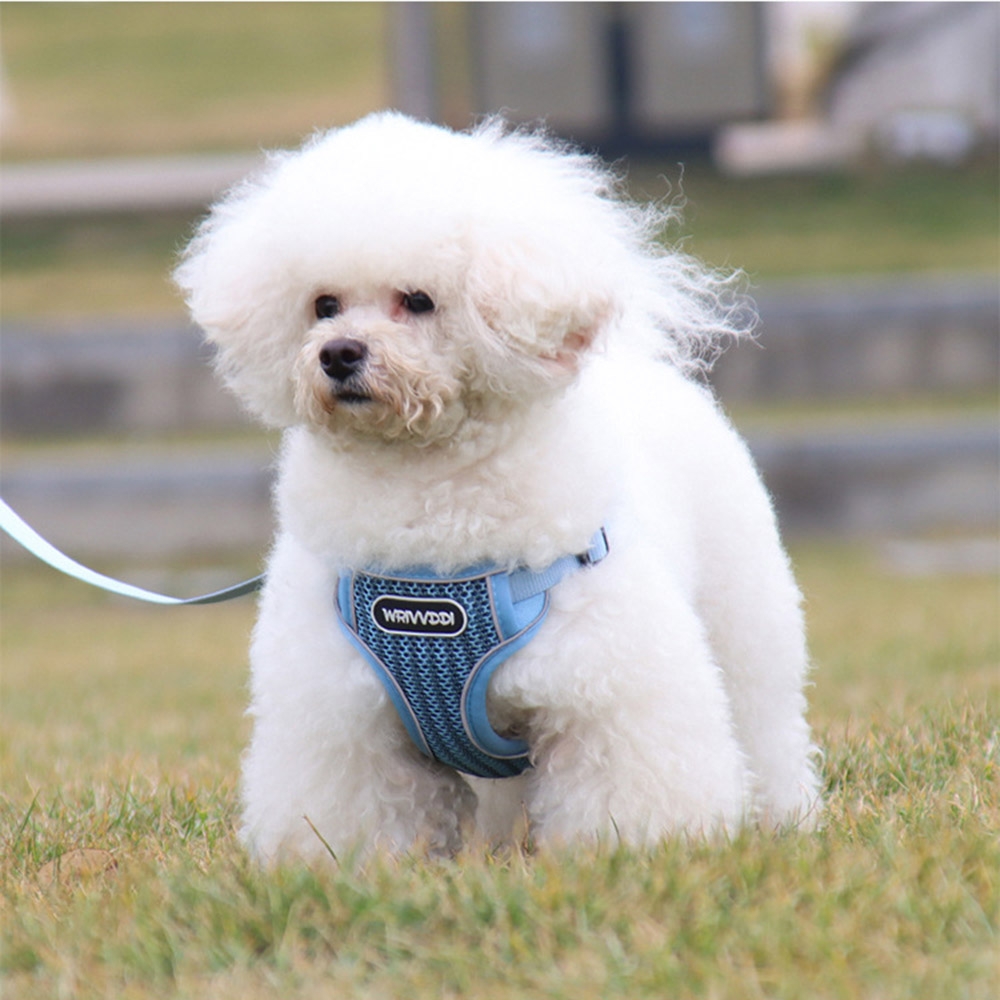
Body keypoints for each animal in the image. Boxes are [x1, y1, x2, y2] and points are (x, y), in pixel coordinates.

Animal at [175, 112, 820, 862]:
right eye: (323, 305)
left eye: (418, 300)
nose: (338, 354)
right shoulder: (343, 723)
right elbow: (358, 816)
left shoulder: (606, 698)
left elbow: (626, 788)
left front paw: (629, 856)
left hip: (745, 622)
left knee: (764, 721)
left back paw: (785, 818)